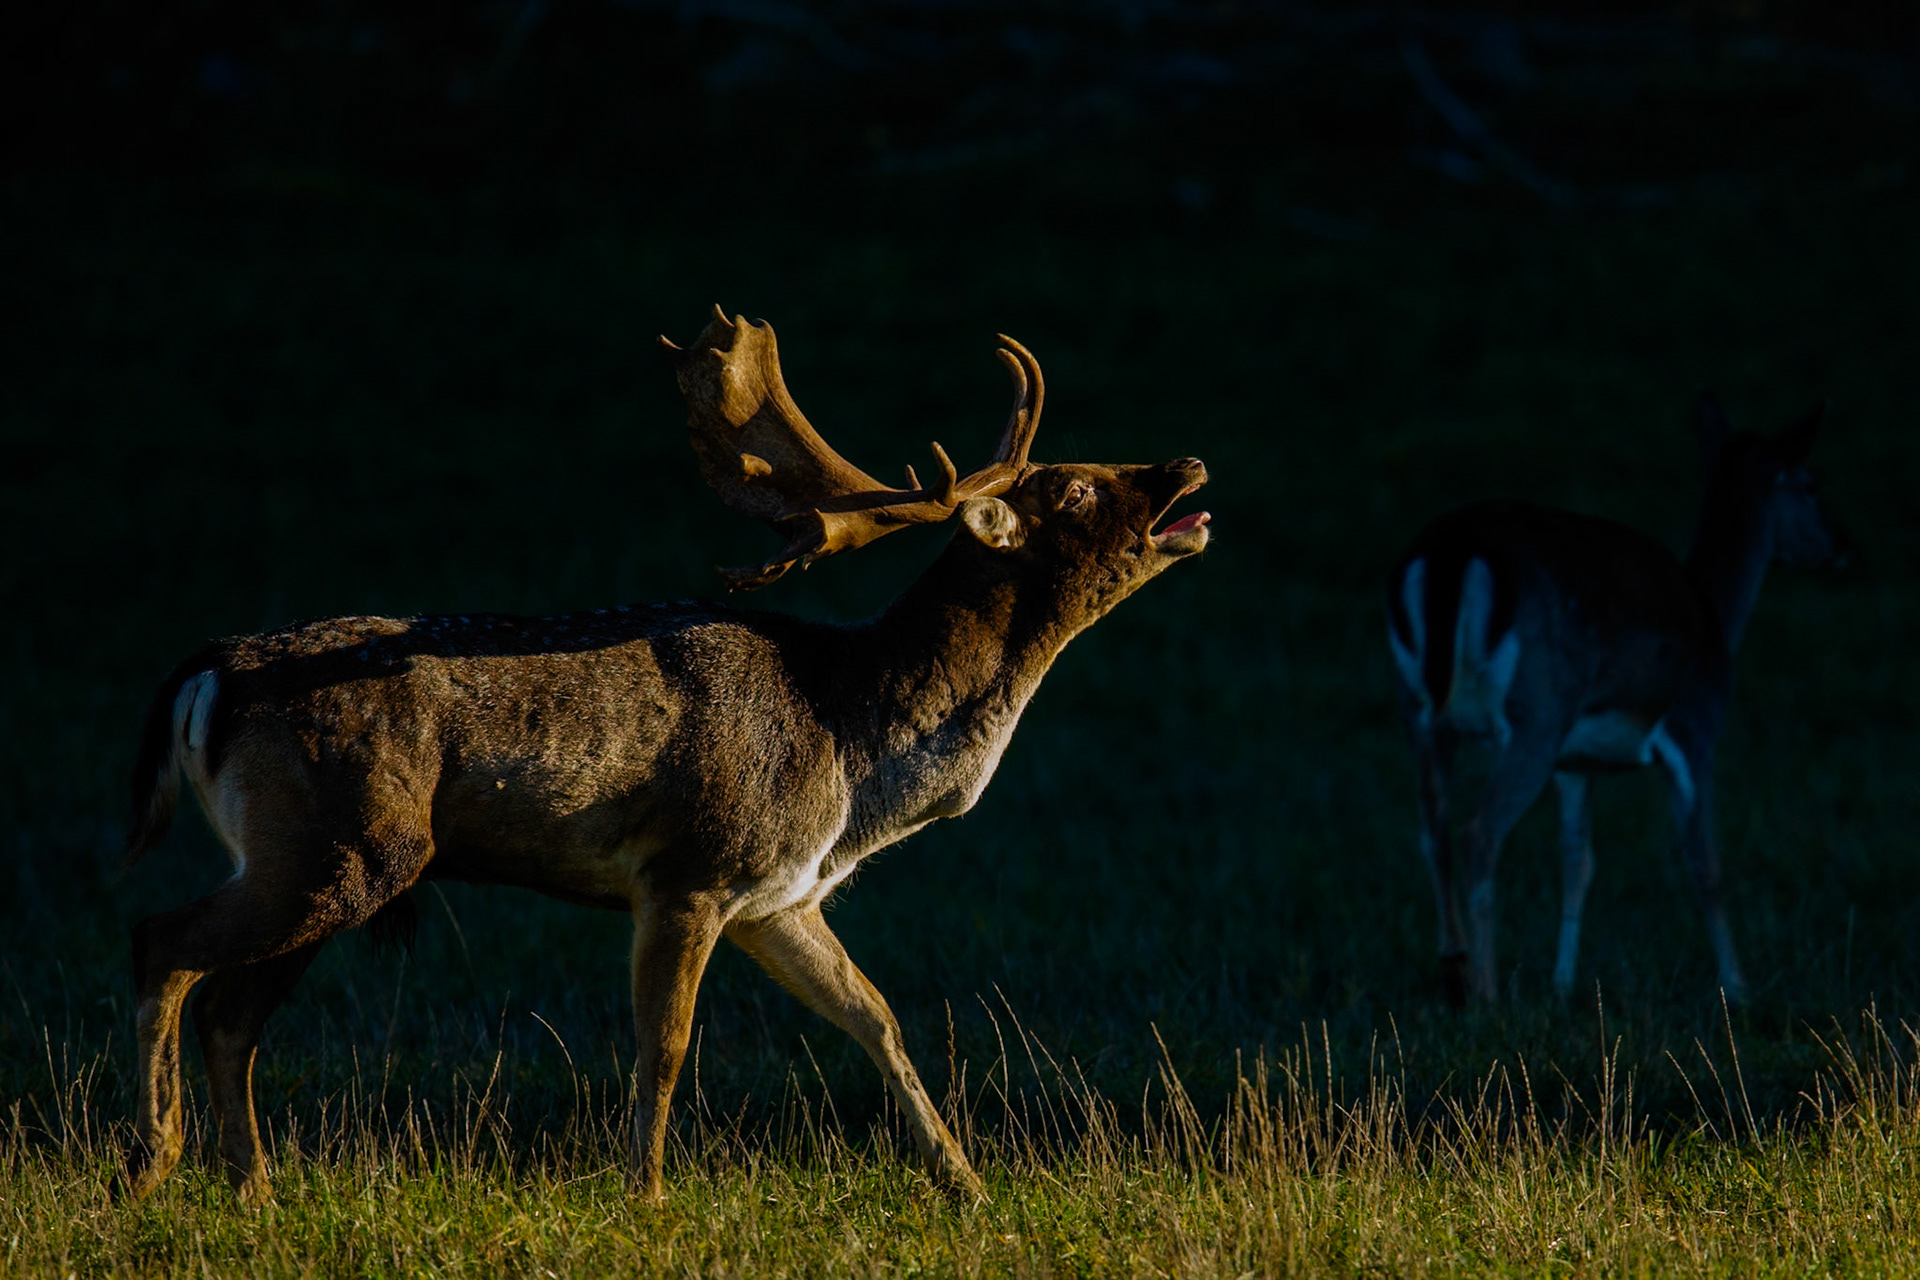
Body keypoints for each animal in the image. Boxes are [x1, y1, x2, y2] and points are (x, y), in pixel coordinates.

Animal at [119, 308, 1211, 1207]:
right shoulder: (692, 870)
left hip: (323, 860)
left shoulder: (781, 897)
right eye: (1077, 485)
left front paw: (968, 1184)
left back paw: (254, 1189)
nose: (1186, 467)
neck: (852, 747)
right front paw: (644, 1197)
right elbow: (665, 1046)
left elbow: (877, 1017)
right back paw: (151, 1163)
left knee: (229, 1012)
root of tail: (203, 673)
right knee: (162, 941)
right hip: (337, 850)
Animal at [1386, 392, 1846, 1007]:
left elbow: (1578, 863)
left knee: (1432, 829)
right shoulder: (1696, 727)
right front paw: (1739, 988)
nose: (1841, 546)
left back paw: (1454, 970)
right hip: (1535, 712)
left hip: (1419, 711)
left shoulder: (1577, 763)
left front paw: (1562, 986)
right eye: (1811, 483)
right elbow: (1705, 864)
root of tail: (1448, 555)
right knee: (1478, 831)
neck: (1717, 618)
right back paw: (1487, 994)